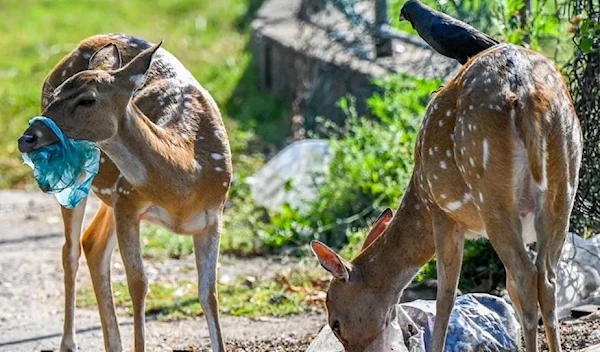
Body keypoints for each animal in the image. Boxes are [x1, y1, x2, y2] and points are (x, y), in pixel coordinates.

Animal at [16, 33, 232, 352]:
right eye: (56, 94)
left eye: (87, 99)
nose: (27, 138)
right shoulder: (129, 201)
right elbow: (138, 282)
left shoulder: (213, 217)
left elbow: (209, 292)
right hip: (87, 184)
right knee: (70, 250)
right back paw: (68, 343)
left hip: (112, 193)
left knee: (91, 243)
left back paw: (112, 344)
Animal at [310, 44, 580, 352]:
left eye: (336, 323)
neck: (419, 193)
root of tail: (522, 90)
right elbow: (507, 287)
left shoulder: (442, 213)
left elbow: (446, 295)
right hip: (563, 187)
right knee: (546, 278)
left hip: (491, 193)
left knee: (526, 275)